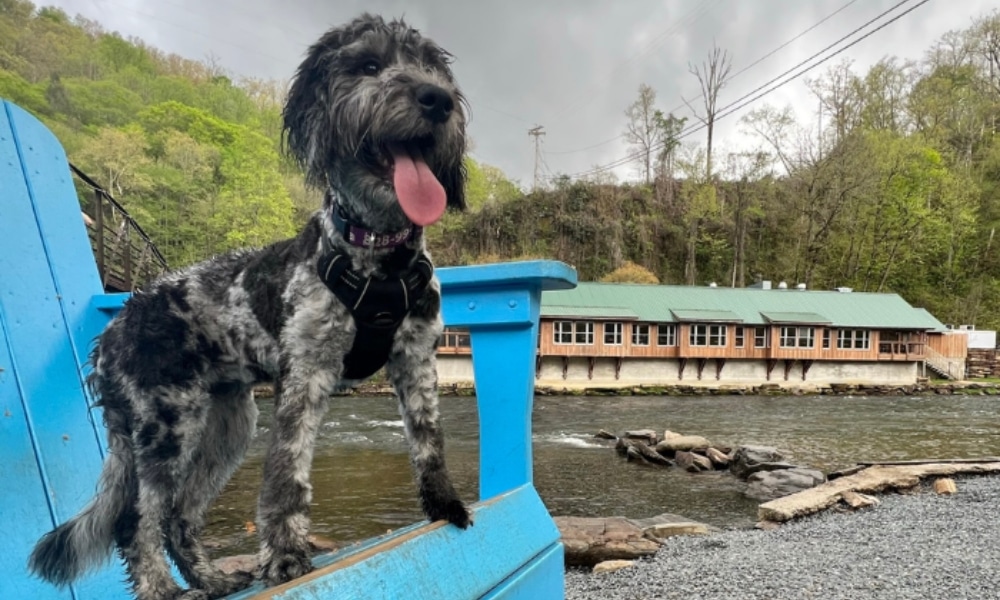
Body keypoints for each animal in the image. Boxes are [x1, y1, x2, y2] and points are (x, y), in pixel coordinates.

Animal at [28, 14, 472, 600]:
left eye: (435, 69)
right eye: (370, 64)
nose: (437, 99)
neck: (379, 258)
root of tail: (114, 329)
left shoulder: (417, 360)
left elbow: (429, 442)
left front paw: (444, 504)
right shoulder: (306, 374)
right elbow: (286, 476)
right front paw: (285, 558)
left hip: (228, 425)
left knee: (179, 517)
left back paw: (213, 578)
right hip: (164, 427)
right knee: (138, 521)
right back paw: (164, 590)